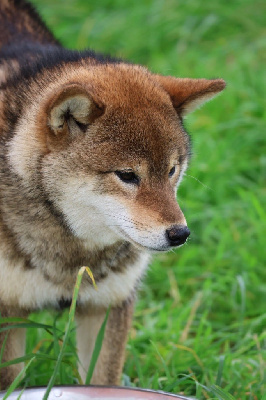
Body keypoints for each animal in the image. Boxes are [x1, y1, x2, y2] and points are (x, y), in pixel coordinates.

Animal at [0, 0, 225, 390]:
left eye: (172, 170)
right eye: (127, 176)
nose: (180, 234)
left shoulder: (106, 308)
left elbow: (102, 379)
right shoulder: (9, 314)